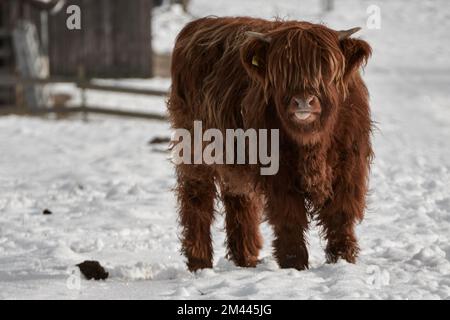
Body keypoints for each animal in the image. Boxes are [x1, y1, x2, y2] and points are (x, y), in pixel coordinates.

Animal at [168, 16, 372, 272]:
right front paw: (294, 265)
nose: (303, 101)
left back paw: (246, 260)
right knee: (197, 198)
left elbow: (340, 216)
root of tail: (197, 25)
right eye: (283, 69)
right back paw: (200, 263)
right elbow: (289, 217)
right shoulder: (278, 172)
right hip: (194, 151)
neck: (312, 142)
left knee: (239, 199)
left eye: (325, 66)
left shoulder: (350, 166)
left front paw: (344, 261)